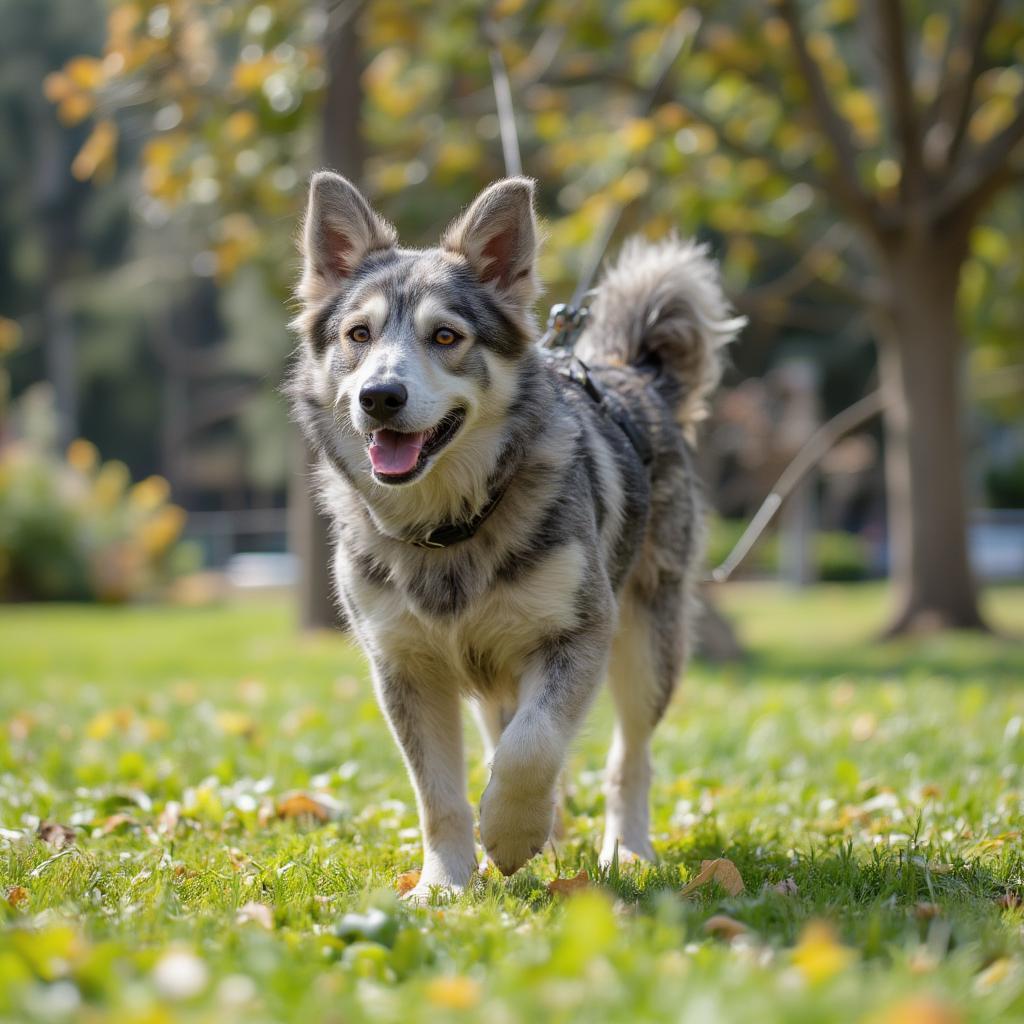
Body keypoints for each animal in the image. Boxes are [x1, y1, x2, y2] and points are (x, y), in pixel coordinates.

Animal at [288, 172, 745, 901]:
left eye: (446, 337)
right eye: (358, 334)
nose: (379, 396)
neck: (449, 531)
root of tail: (631, 370)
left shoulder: (578, 633)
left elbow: (533, 746)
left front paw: (506, 833)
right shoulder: (404, 667)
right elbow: (439, 794)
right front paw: (444, 885)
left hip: (649, 643)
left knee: (627, 758)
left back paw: (626, 851)